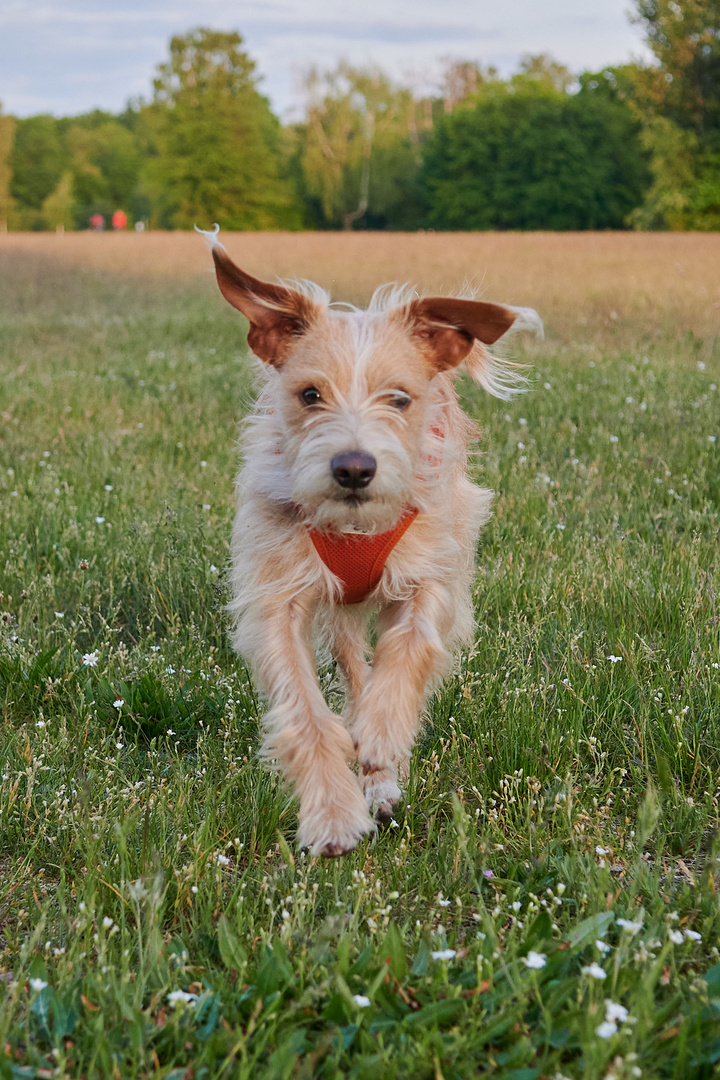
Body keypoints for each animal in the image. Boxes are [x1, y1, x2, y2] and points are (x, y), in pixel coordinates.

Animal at [199, 227, 537, 851]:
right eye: (310, 395)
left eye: (399, 399)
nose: (354, 468)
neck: (354, 526)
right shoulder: (278, 599)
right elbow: (306, 711)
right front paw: (333, 813)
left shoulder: (430, 577)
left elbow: (409, 651)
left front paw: (381, 739)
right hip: (339, 618)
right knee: (354, 669)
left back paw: (382, 772)